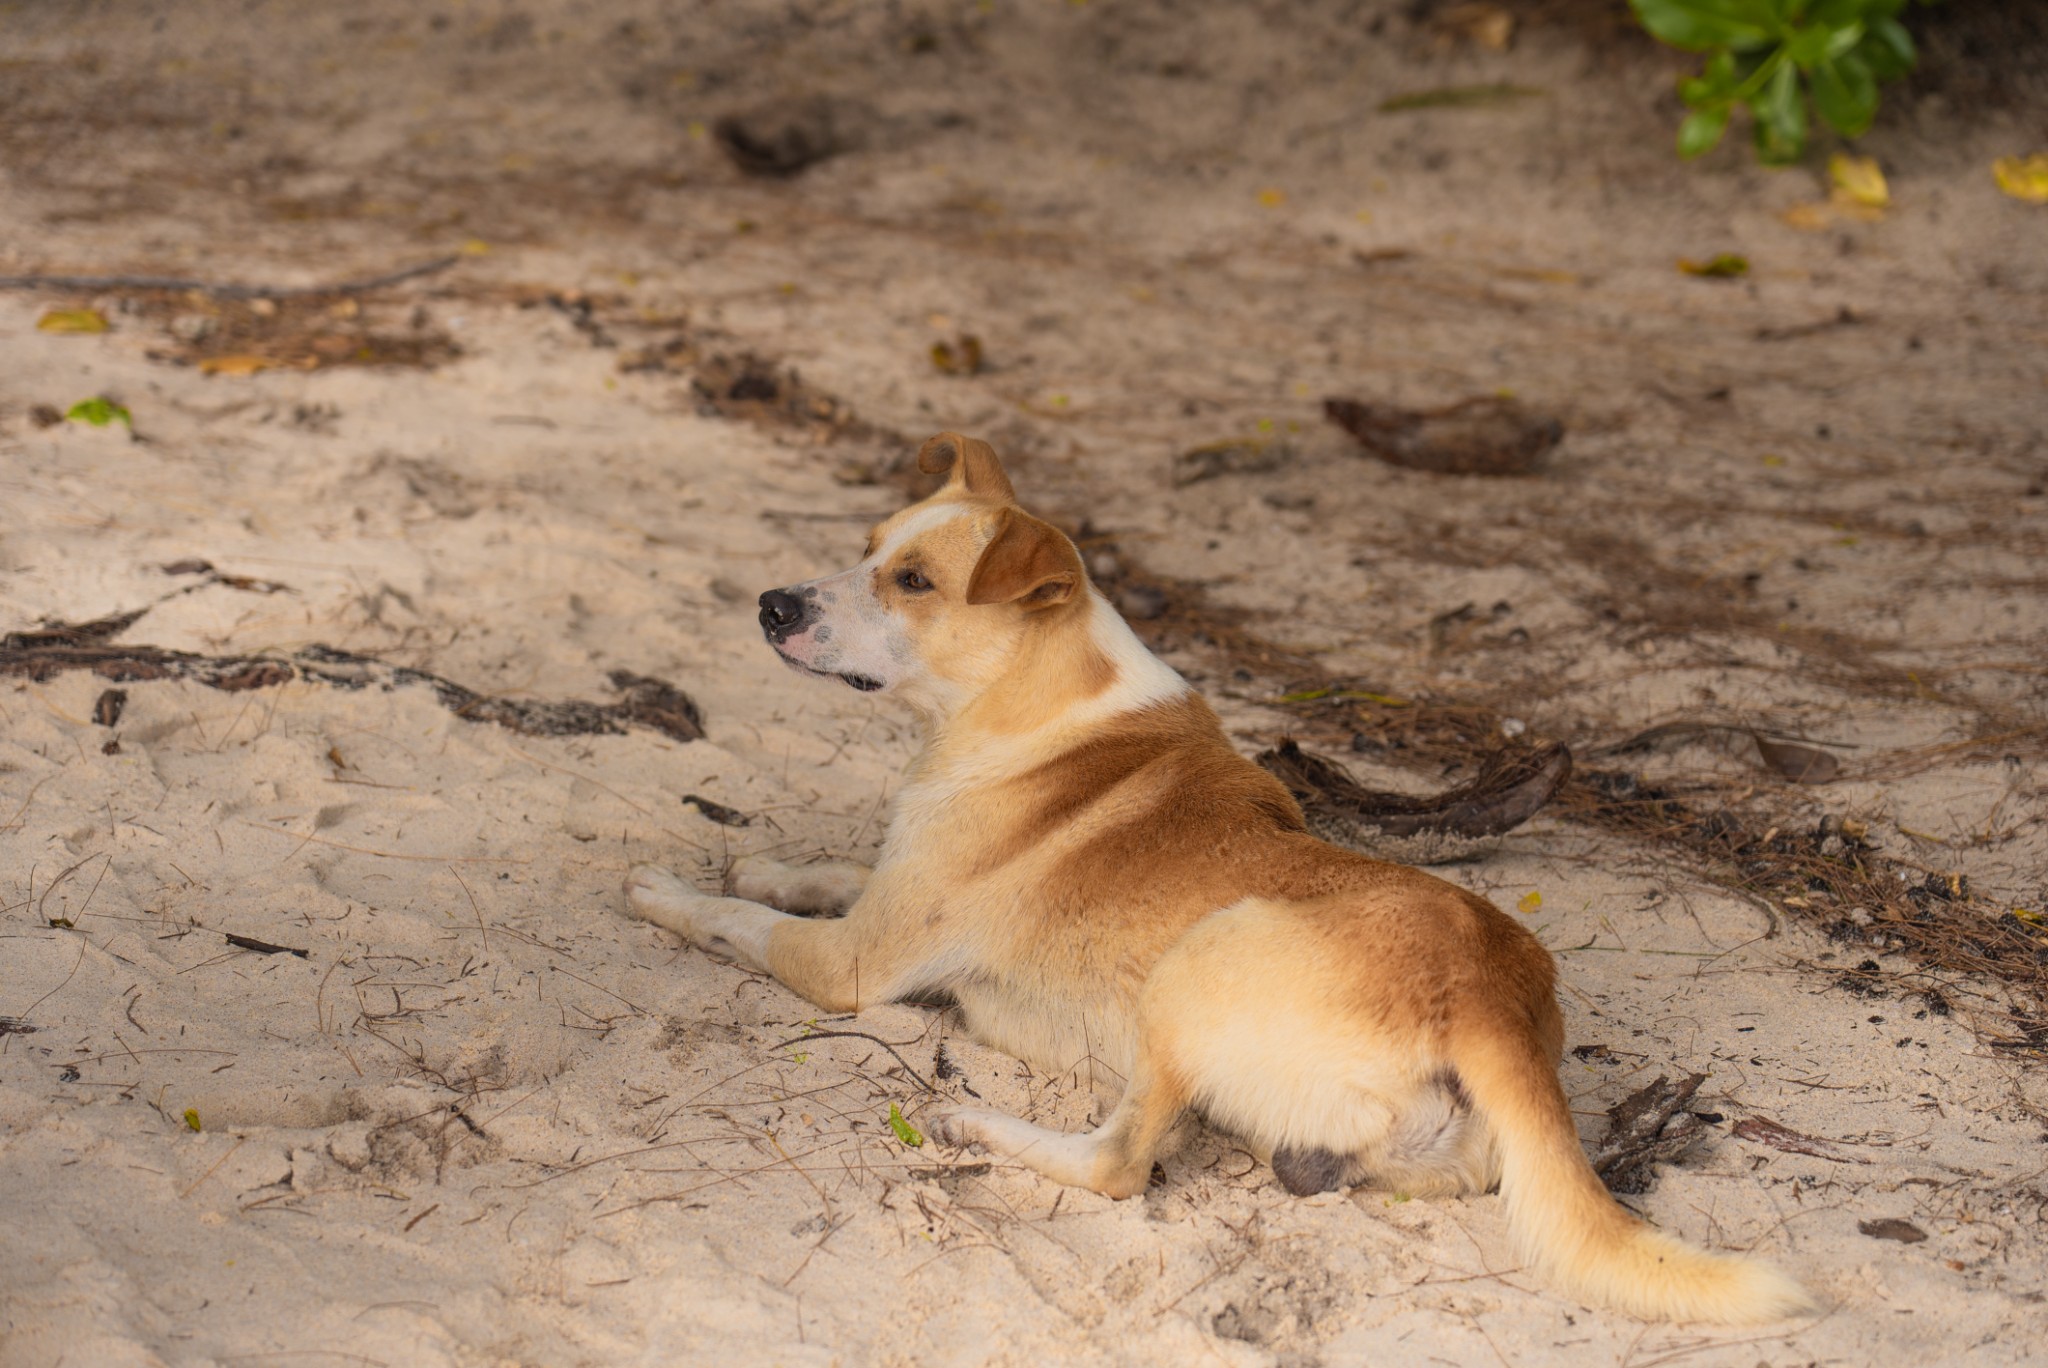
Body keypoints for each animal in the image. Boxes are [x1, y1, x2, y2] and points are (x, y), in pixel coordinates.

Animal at [622, 432, 1810, 1318]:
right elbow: (815, 869)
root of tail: (1493, 1002)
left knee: (1120, 1163)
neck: (1034, 705)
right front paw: (765, 856)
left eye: (911, 582)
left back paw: (974, 1128)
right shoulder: (875, 899)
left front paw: (664, 893)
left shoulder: (851, 965)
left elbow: (737, 920)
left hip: (1196, 960)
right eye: (863, 548)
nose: (773, 603)